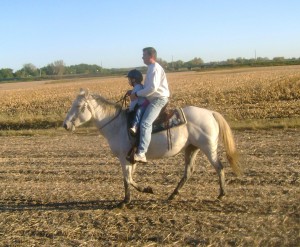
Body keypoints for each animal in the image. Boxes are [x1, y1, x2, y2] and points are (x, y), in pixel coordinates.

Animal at [63, 89, 241, 208]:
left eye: (78, 106)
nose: (65, 125)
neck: (118, 125)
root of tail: (210, 113)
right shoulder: (130, 159)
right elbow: (128, 179)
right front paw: (126, 200)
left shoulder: (124, 158)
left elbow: (128, 179)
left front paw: (144, 191)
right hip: (191, 148)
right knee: (188, 172)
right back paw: (173, 194)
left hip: (208, 148)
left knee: (219, 167)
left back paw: (221, 194)